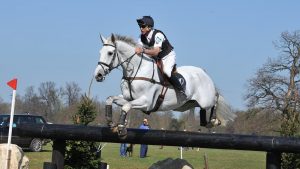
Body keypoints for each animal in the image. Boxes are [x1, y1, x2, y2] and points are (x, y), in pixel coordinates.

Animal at [94, 33, 234, 137]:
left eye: (110, 53)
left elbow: (126, 106)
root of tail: (204, 73)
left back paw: (214, 120)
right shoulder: (128, 98)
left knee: (215, 98)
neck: (136, 71)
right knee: (202, 111)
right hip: (188, 104)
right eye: (100, 52)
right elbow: (110, 99)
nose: (98, 75)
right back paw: (208, 122)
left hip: (206, 99)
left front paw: (121, 128)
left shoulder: (146, 102)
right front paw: (110, 122)